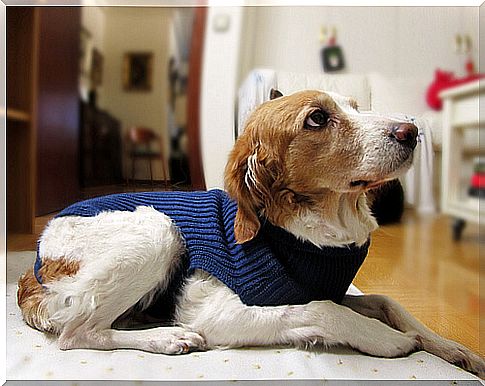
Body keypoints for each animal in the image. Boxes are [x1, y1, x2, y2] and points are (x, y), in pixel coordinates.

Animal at [16, 89, 484, 376]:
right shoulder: (213, 311)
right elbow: (323, 311)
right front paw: (387, 339)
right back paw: (168, 337)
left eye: (355, 105)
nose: (412, 131)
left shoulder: (333, 287)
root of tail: (32, 266)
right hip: (159, 228)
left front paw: (452, 348)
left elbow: (389, 302)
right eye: (318, 118)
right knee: (78, 333)